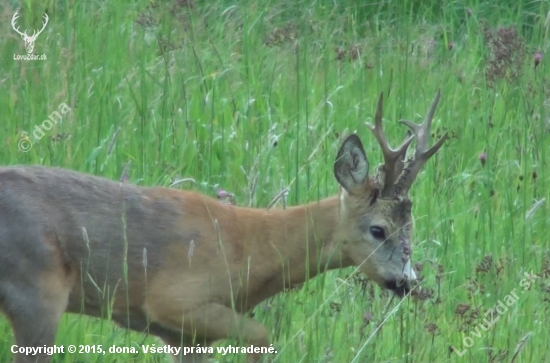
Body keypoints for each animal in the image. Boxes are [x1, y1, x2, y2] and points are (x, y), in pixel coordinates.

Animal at [0, 91, 448, 363]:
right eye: (378, 230)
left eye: (411, 227)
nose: (407, 281)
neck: (249, 249)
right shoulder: (174, 300)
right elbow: (262, 334)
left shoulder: (182, 336)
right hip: (38, 290)